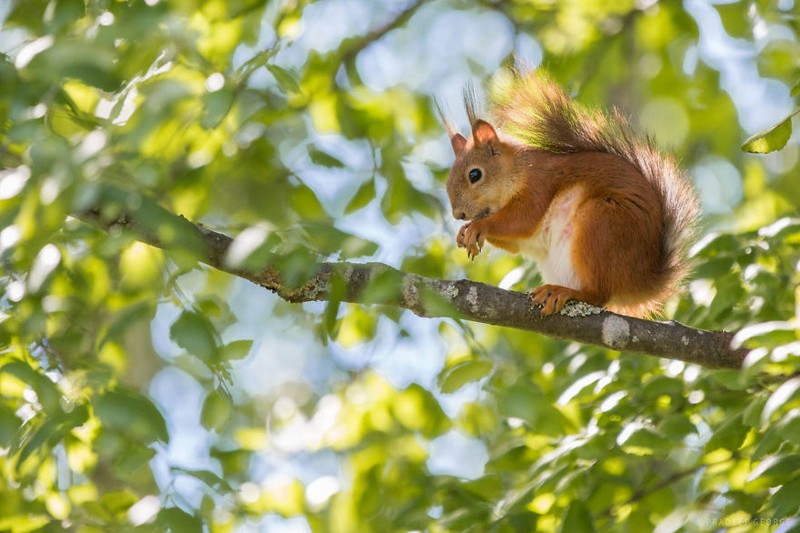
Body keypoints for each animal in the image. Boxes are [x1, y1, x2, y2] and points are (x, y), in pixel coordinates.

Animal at [444, 72, 700, 318]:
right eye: (447, 182)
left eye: (475, 174)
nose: (458, 214)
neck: (515, 171)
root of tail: (639, 282)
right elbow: (516, 242)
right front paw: (463, 232)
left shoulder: (539, 184)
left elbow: (523, 220)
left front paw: (479, 226)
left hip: (601, 223)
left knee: (598, 295)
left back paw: (563, 292)